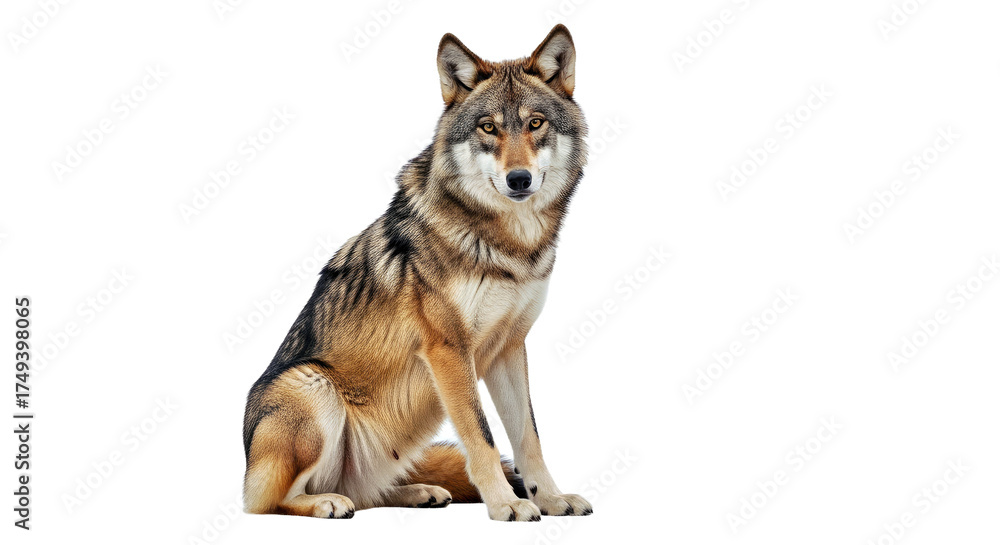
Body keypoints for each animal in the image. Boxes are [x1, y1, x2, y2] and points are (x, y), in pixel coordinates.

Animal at [242, 24, 591, 522]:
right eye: (489, 127)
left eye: (536, 124)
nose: (519, 179)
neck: (510, 246)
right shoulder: (448, 351)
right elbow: (483, 438)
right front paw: (506, 504)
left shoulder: (509, 349)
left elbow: (529, 439)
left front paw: (552, 498)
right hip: (313, 386)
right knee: (271, 502)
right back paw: (326, 502)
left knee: (370, 493)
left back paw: (419, 492)